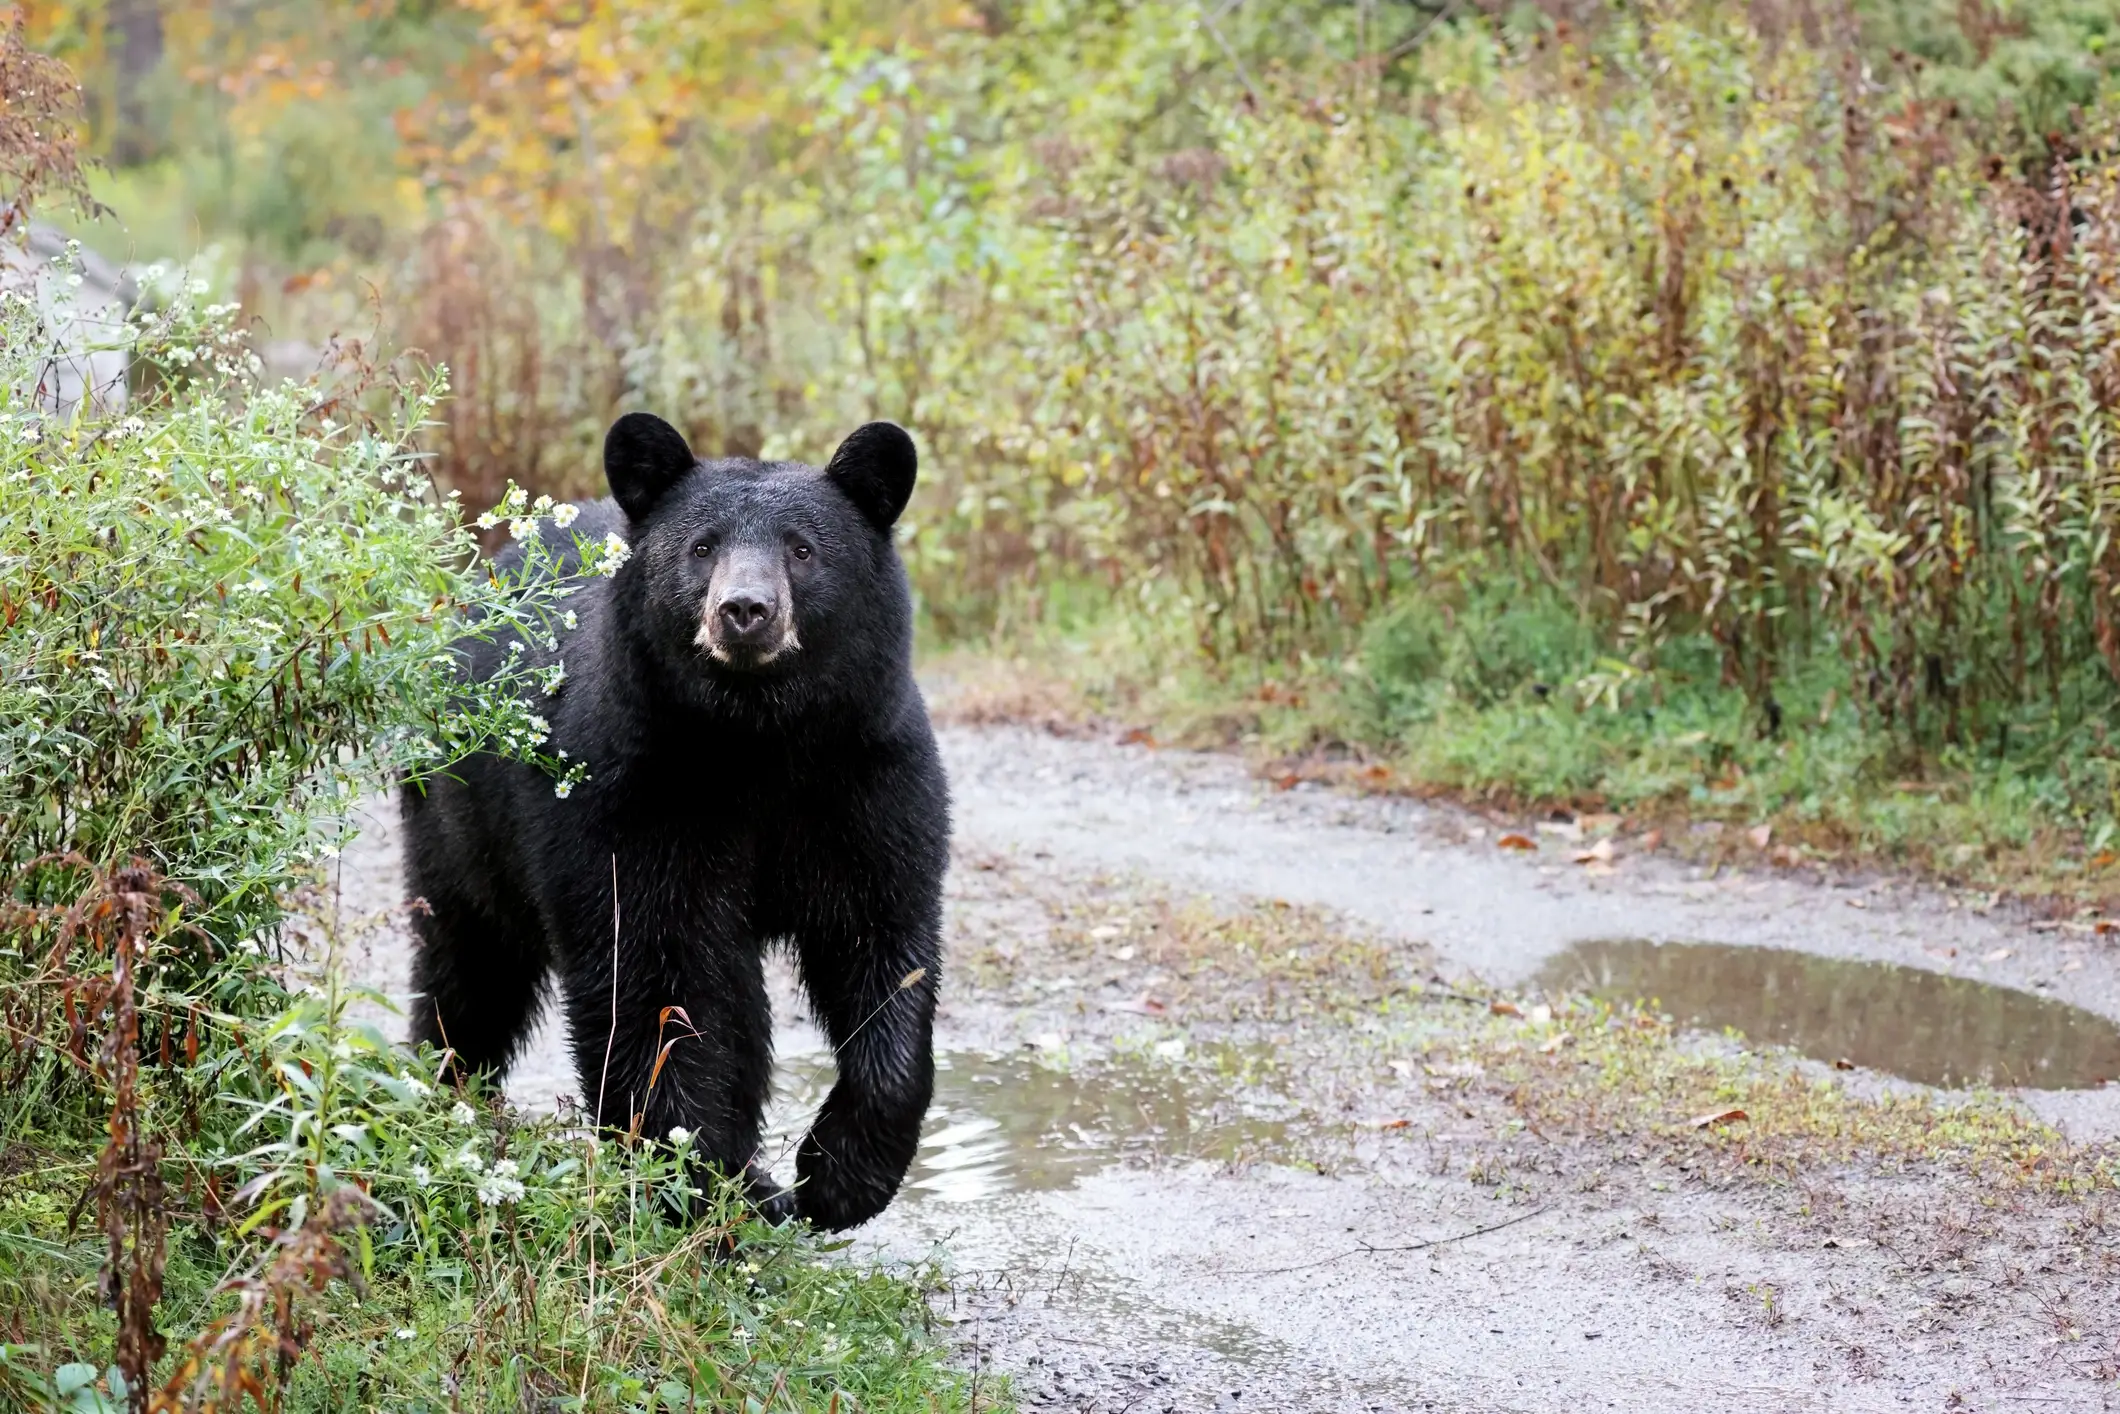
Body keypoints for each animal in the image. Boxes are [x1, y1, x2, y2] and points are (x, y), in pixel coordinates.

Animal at [400, 412, 948, 1232]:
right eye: (702, 547)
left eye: (802, 548)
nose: (745, 611)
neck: (756, 740)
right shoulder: (630, 787)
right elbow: (652, 967)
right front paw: (694, 1179)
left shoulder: (867, 778)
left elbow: (883, 945)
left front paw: (838, 1176)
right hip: (456, 821)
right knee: (468, 968)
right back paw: (444, 1086)